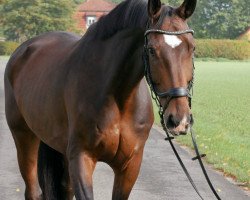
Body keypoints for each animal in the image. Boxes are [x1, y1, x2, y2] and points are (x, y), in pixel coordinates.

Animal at [3, 0, 195, 198]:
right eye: (151, 50)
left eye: (192, 47)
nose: (179, 120)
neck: (117, 98)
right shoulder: (81, 158)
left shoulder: (130, 165)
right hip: (25, 137)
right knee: (33, 190)